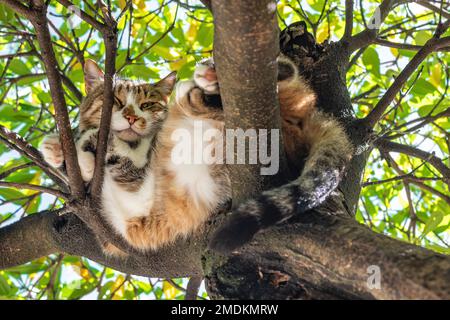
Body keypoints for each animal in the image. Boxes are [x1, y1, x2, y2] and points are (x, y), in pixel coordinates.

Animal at [40, 58, 177, 255]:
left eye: (147, 105)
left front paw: (83, 155)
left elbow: (100, 137)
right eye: (116, 100)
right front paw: (56, 150)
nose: (132, 117)